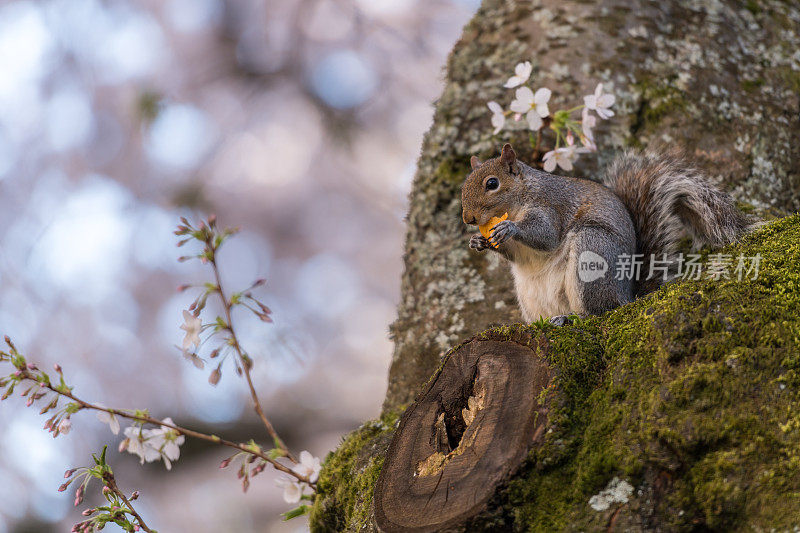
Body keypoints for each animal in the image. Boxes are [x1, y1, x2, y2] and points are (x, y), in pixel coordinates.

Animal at [460, 143, 752, 322]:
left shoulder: (551, 206)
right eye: (464, 184)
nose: (468, 218)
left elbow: (546, 236)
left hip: (592, 251)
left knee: (599, 313)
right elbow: (514, 254)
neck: (519, 198)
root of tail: (627, 298)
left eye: (492, 183)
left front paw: (510, 228)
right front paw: (478, 241)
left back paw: (571, 318)